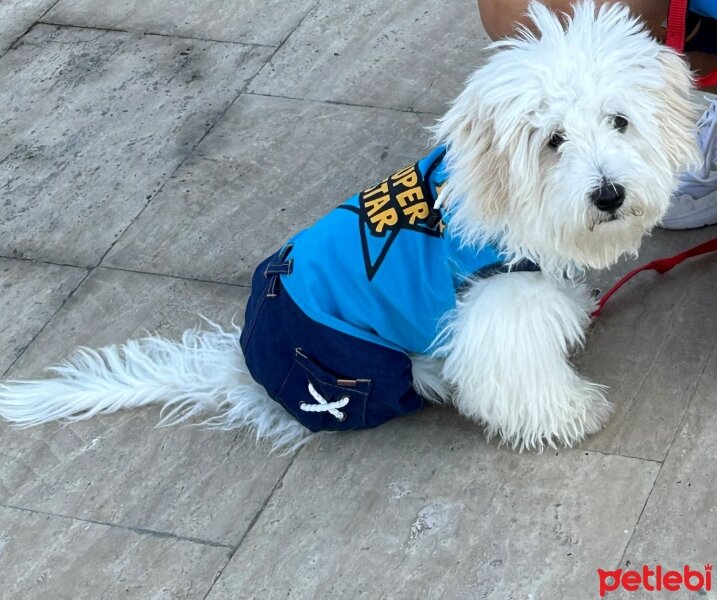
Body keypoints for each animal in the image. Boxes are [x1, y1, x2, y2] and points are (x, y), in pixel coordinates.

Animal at [0, 0, 700, 450]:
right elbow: (516, 376)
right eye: (553, 141)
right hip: (354, 369)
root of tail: (249, 363)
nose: (609, 194)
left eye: (619, 121)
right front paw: (574, 413)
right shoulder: (496, 304)